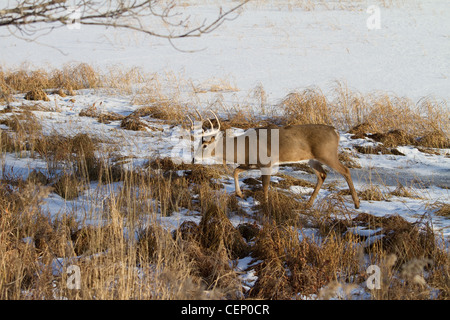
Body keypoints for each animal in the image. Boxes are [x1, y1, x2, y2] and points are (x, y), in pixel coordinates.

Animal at [188, 110, 360, 210]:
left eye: (204, 144)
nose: (194, 159)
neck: (242, 147)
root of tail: (336, 132)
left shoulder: (267, 163)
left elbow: (264, 186)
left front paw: (265, 204)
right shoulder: (252, 163)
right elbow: (236, 171)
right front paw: (240, 194)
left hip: (327, 154)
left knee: (345, 170)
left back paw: (357, 203)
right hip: (312, 159)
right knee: (322, 175)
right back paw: (308, 204)